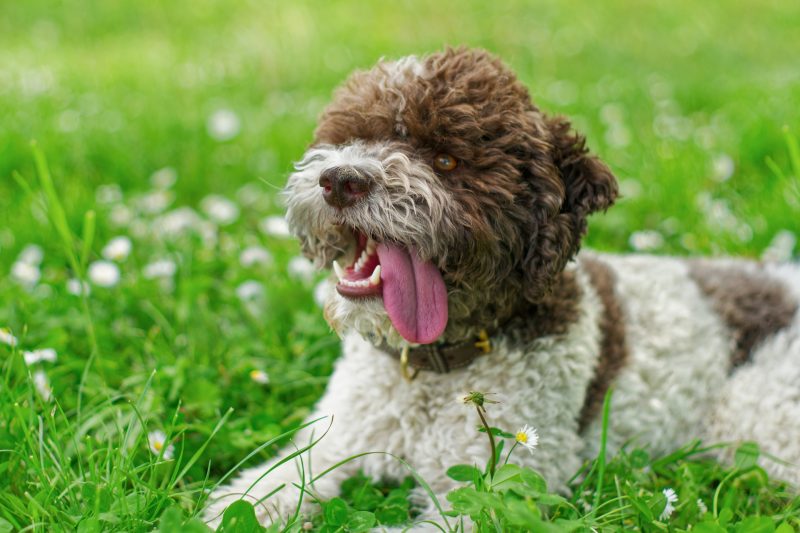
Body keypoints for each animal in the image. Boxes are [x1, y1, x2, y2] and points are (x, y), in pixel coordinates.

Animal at [206, 46, 800, 528]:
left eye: (446, 158)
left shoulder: (498, 490)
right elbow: (265, 489)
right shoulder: (337, 441)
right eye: (351, 136)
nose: (339, 180)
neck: (432, 369)